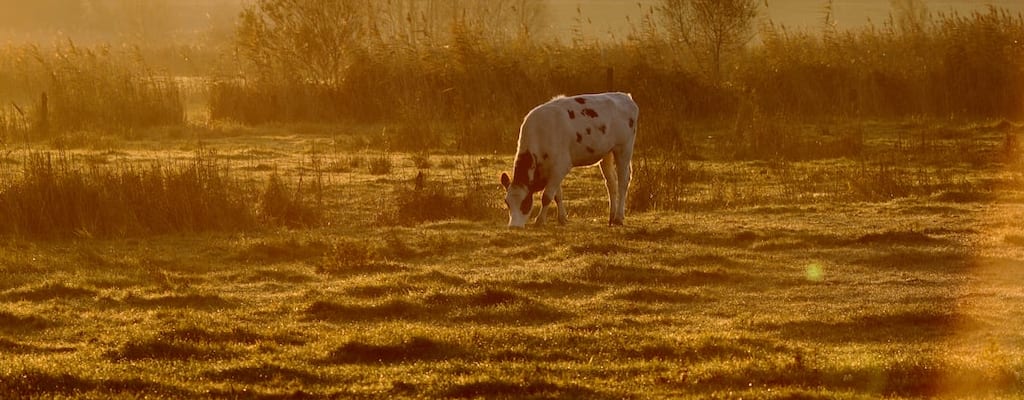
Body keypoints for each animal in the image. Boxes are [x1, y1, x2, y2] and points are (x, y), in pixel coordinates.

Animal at [499, 92, 634, 227]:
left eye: (525, 202)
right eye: (507, 202)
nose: (513, 226)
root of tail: (624, 96)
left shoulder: (561, 165)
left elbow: (546, 196)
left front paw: (540, 220)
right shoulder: (552, 168)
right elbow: (557, 195)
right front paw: (562, 218)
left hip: (624, 148)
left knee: (623, 181)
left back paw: (618, 218)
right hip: (606, 153)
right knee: (611, 183)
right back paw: (611, 216)